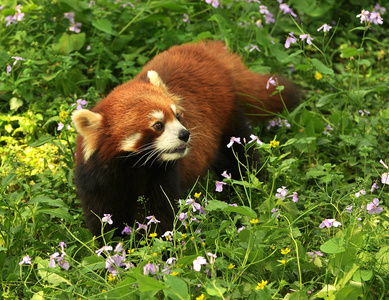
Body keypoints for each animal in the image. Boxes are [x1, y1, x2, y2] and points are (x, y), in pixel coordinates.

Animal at [71, 40, 298, 237]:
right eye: (158, 125)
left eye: (178, 116)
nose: (185, 134)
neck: (133, 168)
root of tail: (206, 51)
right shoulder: (98, 181)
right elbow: (104, 219)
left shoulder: (163, 177)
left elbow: (161, 216)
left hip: (229, 120)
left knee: (240, 156)